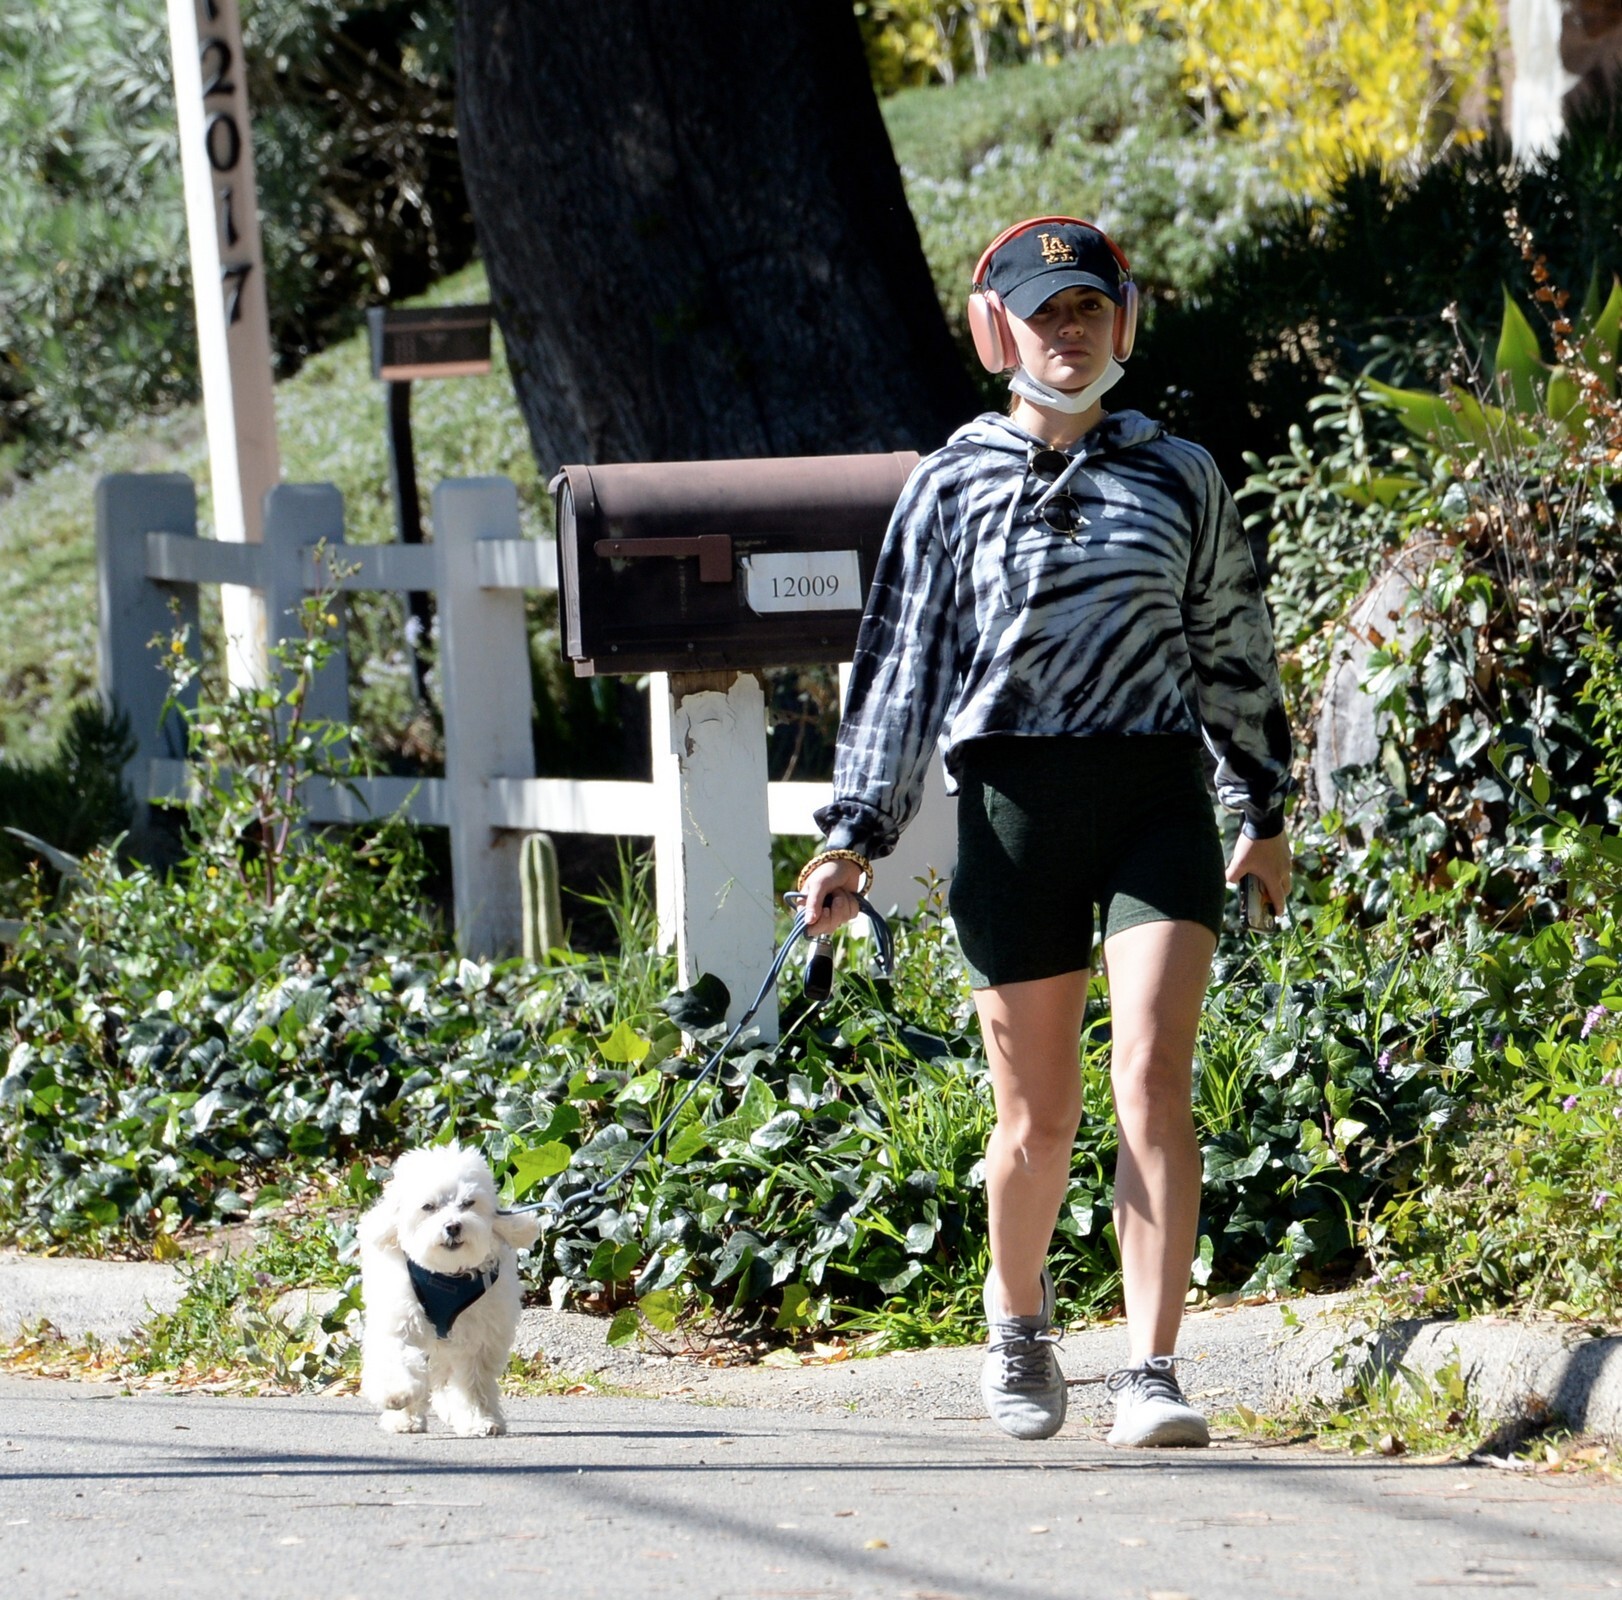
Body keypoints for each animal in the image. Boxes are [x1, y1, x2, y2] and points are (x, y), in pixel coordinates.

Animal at [357, 1144, 540, 1436]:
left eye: (468, 1203)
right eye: (428, 1207)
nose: (453, 1226)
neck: (447, 1273)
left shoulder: (480, 1336)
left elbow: (473, 1382)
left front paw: (478, 1419)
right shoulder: (399, 1317)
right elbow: (396, 1354)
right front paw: (396, 1394)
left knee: (445, 1373)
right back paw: (405, 1419)